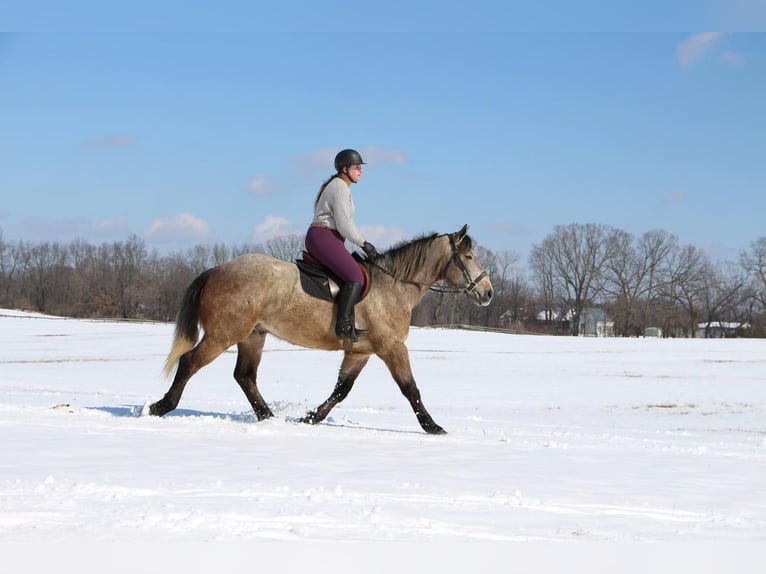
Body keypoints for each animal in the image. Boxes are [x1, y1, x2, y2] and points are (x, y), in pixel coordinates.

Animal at [146, 225, 496, 436]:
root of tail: (217, 269)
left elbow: (341, 390)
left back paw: (269, 417)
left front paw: (310, 418)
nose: (488, 293)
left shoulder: (361, 351)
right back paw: (161, 407)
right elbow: (410, 389)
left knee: (244, 376)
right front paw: (433, 426)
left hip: (252, 336)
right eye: (468, 256)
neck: (393, 286)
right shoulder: (392, 347)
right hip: (223, 334)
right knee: (190, 362)